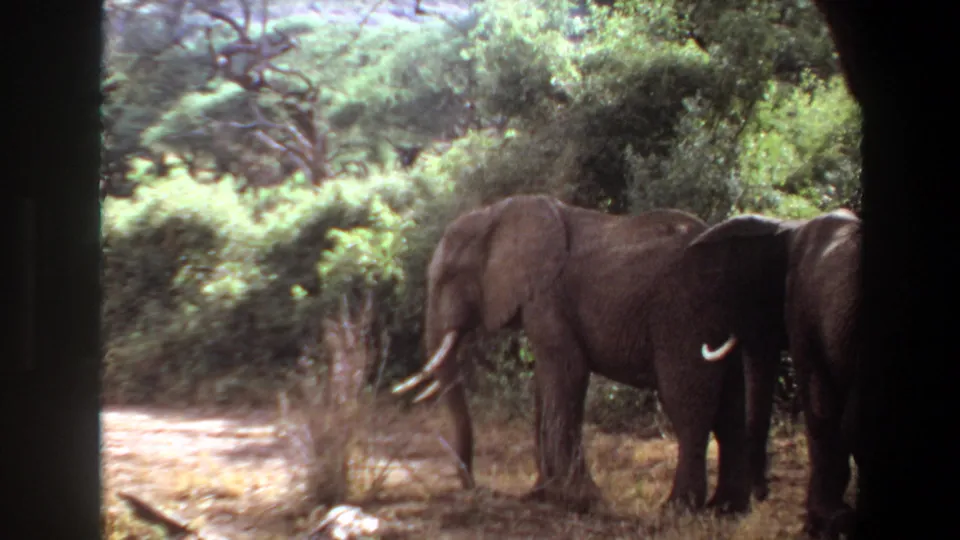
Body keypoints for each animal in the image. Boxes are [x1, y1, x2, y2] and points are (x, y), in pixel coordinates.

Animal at [392, 194, 784, 514]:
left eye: (448, 277)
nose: (474, 486)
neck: (495, 212)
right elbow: (545, 384)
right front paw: (542, 496)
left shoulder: (547, 297)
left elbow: (568, 374)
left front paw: (581, 501)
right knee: (730, 405)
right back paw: (728, 511)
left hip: (686, 313)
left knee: (687, 402)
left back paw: (676, 510)